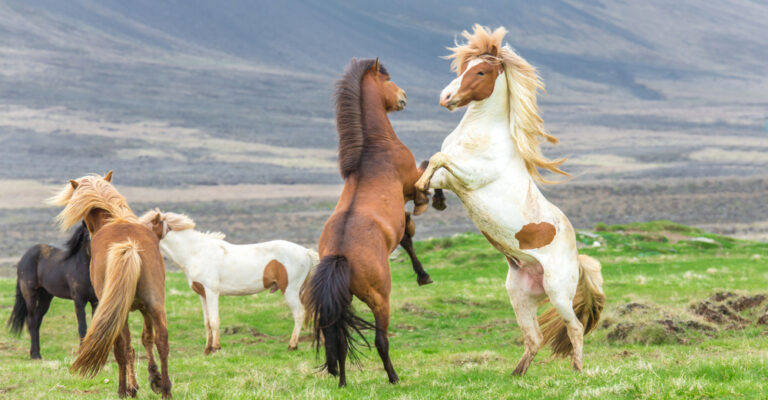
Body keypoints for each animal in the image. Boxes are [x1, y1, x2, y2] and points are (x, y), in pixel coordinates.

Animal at [7, 221, 98, 359]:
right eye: (87, 235)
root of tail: (23, 258)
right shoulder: (79, 301)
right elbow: (82, 327)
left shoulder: (95, 301)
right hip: (30, 294)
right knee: (31, 321)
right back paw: (35, 356)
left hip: (45, 297)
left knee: (37, 321)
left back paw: (37, 353)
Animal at [48, 171, 172, 398]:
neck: (114, 218)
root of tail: (128, 246)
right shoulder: (144, 308)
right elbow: (146, 339)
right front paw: (155, 379)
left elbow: (130, 347)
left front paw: (135, 386)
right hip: (155, 304)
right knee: (162, 341)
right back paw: (166, 389)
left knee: (120, 347)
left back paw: (122, 390)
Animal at [139, 209, 319, 354]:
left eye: (146, 226)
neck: (195, 252)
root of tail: (306, 252)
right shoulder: (202, 295)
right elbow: (207, 323)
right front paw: (207, 350)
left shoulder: (212, 292)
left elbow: (214, 320)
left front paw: (216, 348)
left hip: (290, 291)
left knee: (299, 314)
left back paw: (292, 346)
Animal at [302, 58, 433, 387]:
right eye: (387, 80)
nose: (403, 96)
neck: (373, 151)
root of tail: (340, 255)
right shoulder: (411, 183)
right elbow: (428, 173)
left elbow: (407, 233)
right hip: (379, 298)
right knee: (380, 340)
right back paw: (394, 377)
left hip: (342, 302)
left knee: (338, 340)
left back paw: (342, 382)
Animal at [415, 25, 606, 375]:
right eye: (462, 67)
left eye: (480, 71)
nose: (445, 98)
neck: (481, 134)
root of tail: (578, 259)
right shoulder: (452, 179)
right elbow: (428, 164)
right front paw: (423, 192)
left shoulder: (469, 177)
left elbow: (437, 158)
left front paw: (423, 190)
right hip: (520, 295)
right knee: (534, 338)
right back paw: (516, 374)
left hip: (558, 292)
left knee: (573, 327)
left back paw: (577, 369)